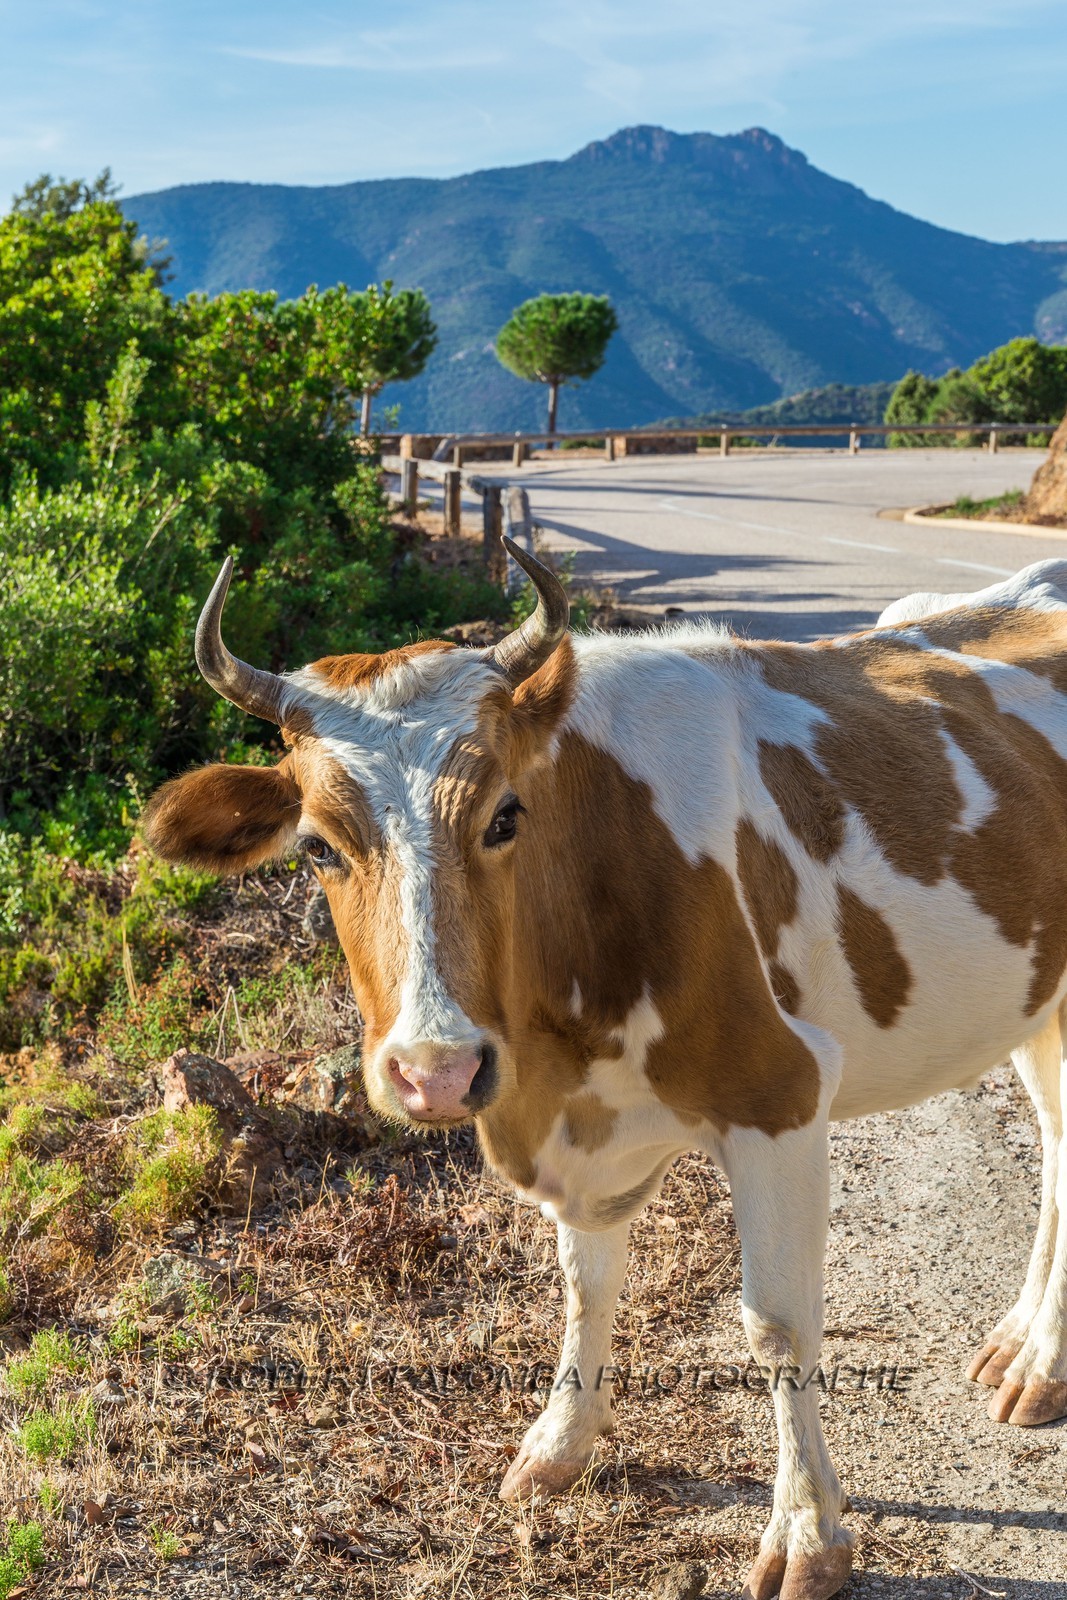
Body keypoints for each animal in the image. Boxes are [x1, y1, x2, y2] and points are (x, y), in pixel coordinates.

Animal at [144, 544, 1067, 1600]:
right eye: (315, 847)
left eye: (505, 816)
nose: (435, 1070)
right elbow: (584, 1285)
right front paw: (559, 1444)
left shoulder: (779, 1091)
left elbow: (777, 1327)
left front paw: (806, 1536)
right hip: (1037, 992)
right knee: (1055, 1142)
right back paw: (1019, 1347)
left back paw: (1039, 1364)